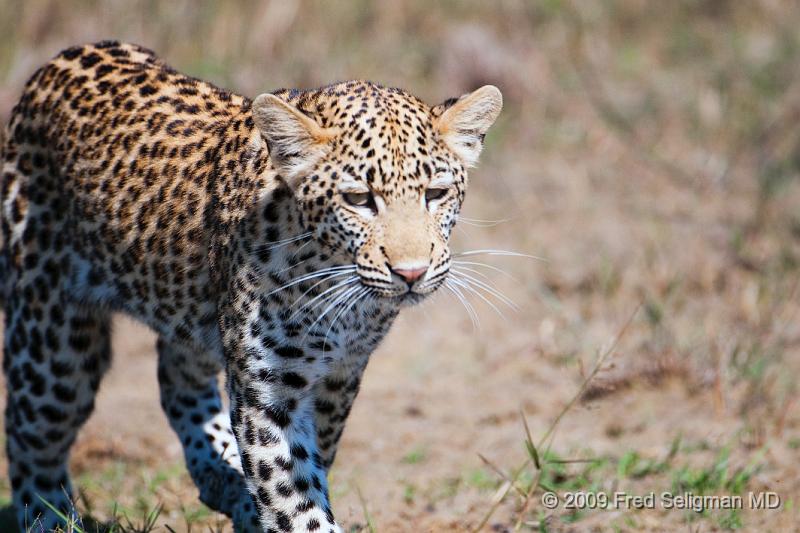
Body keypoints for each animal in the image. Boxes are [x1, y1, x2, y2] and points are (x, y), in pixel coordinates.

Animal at [0, 41, 500, 532]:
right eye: (359, 199)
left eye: (435, 194)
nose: (411, 273)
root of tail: (56, 62)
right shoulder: (270, 393)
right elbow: (294, 498)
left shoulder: (340, 377)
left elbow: (313, 462)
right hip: (54, 345)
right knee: (30, 437)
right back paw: (48, 518)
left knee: (178, 380)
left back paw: (223, 479)